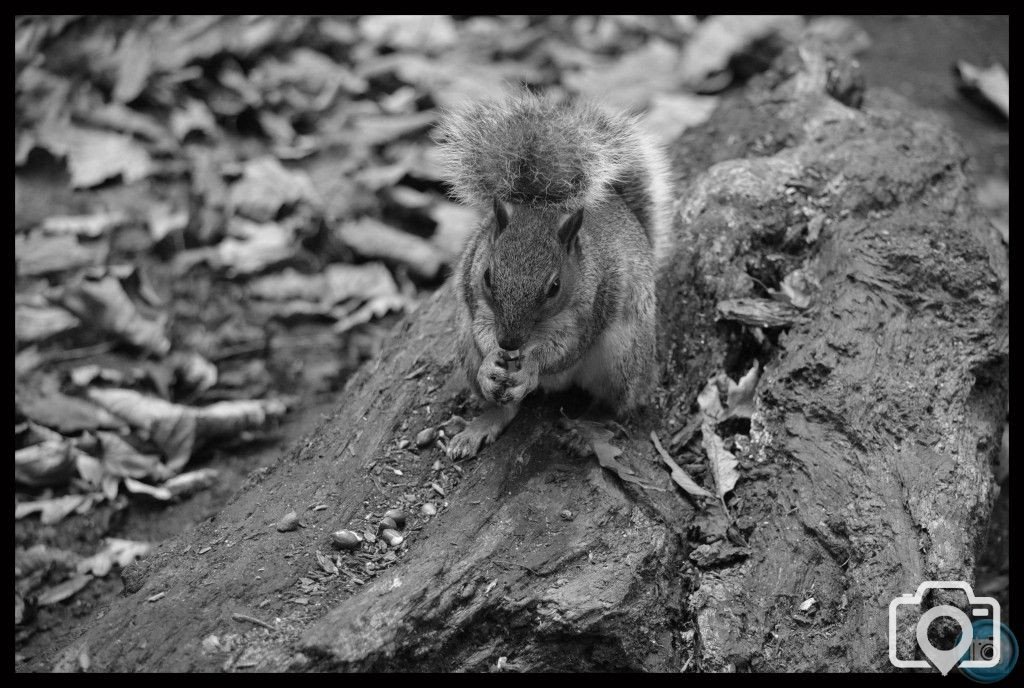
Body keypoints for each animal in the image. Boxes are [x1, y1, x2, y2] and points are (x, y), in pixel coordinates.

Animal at [432, 90, 671, 456]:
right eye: (487, 277)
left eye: (555, 286)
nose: (509, 342)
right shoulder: (476, 302)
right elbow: (483, 332)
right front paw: (491, 363)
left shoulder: (592, 306)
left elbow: (564, 349)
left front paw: (531, 366)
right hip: (463, 344)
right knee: (505, 404)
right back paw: (483, 423)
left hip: (625, 356)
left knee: (614, 403)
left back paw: (587, 428)